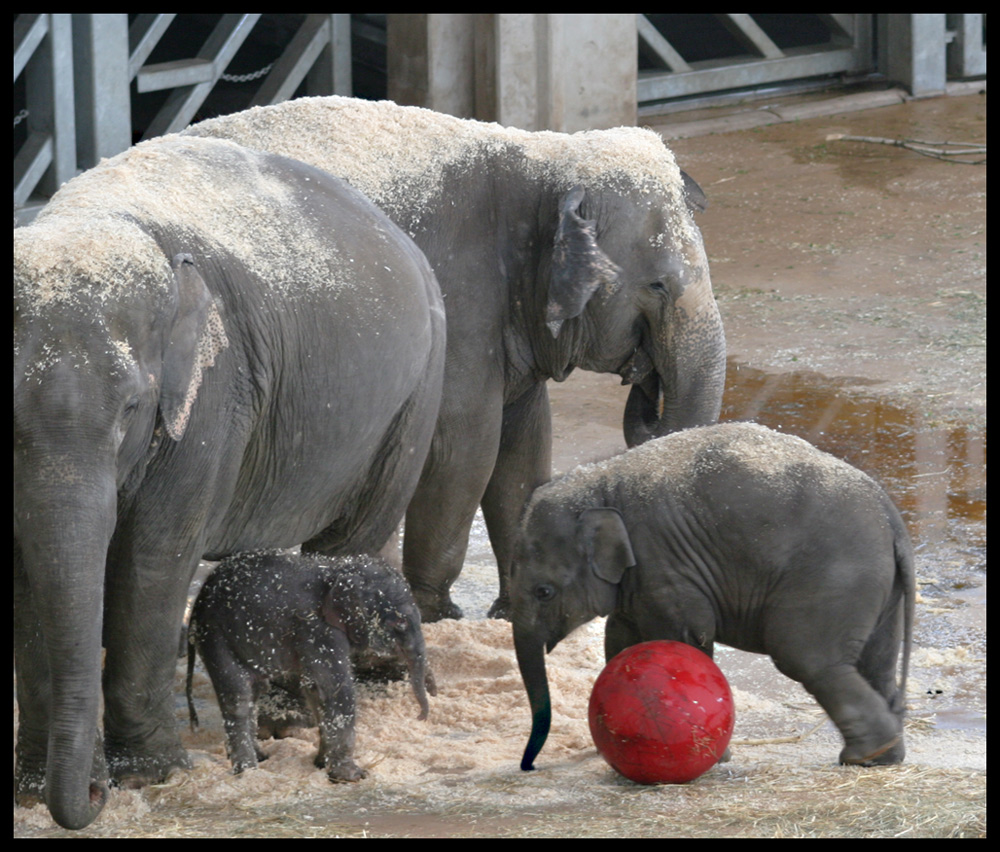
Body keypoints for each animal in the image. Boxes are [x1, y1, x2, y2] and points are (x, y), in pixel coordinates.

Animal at [182, 96, 728, 624]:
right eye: (658, 284)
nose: (647, 381)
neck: (544, 157)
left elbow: (526, 449)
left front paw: (511, 613)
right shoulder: (459, 303)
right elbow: (465, 447)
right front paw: (441, 615)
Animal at [188, 548, 438, 784]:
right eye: (401, 622)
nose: (421, 717)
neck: (340, 570)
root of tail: (196, 606)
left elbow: (315, 690)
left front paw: (321, 763)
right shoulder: (317, 629)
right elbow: (334, 688)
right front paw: (352, 776)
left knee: (255, 692)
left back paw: (260, 757)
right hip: (216, 636)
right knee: (238, 697)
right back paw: (248, 772)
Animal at [516, 422, 916, 772]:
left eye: (543, 592)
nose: (530, 765)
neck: (602, 480)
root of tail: (892, 519)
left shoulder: (665, 563)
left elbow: (684, 637)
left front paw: (715, 758)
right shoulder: (640, 580)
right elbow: (620, 640)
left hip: (835, 578)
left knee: (806, 657)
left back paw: (863, 756)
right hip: (879, 590)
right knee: (874, 664)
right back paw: (882, 757)